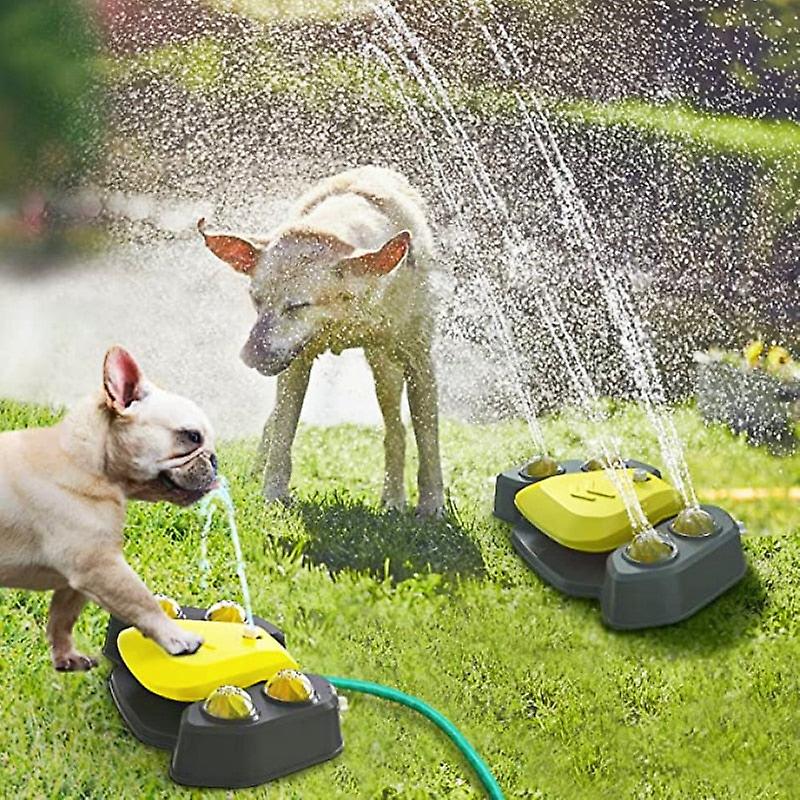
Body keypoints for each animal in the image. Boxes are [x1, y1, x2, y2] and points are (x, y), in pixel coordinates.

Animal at [0, 348, 217, 668]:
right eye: (191, 436)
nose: (214, 459)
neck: (85, 461)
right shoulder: (101, 567)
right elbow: (142, 601)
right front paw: (177, 637)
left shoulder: (77, 580)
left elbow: (62, 619)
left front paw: (66, 658)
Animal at [198, 167, 446, 520]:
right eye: (255, 299)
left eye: (298, 306)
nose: (249, 356)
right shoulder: (295, 363)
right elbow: (284, 431)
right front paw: (273, 494)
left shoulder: (419, 360)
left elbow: (428, 439)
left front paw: (432, 506)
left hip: (385, 366)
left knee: (395, 430)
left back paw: (393, 499)